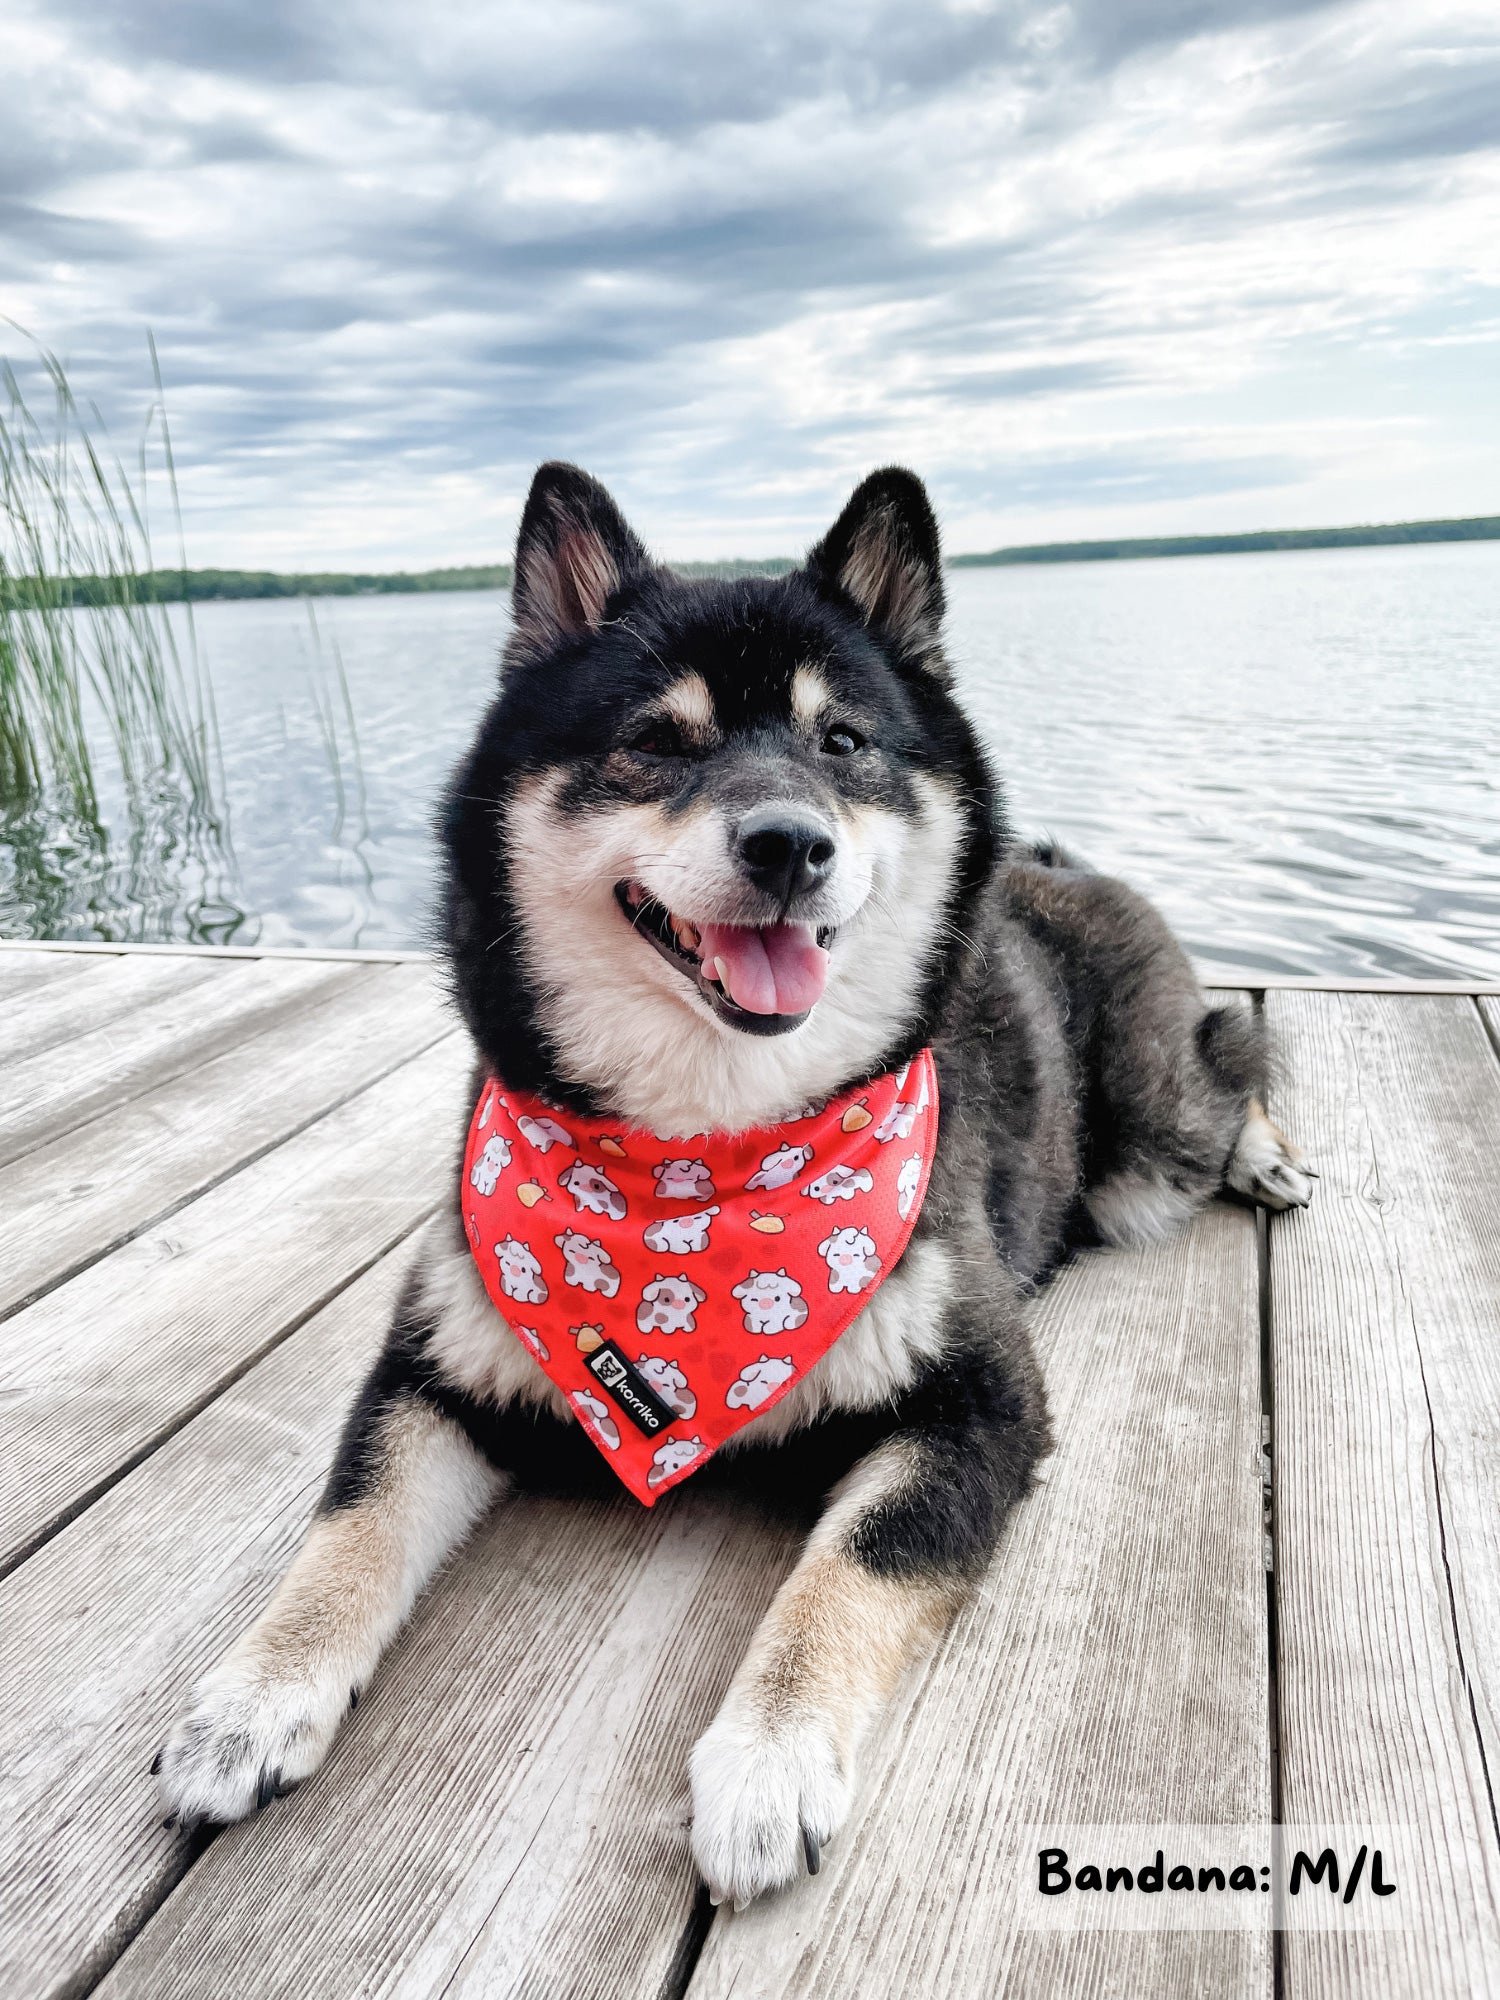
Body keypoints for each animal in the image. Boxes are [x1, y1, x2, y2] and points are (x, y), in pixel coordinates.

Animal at [156, 458, 1312, 1904]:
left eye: (844, 742)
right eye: (658, 739)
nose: (788, 842)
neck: (706, 1164)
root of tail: (1056, 865)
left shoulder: (984, 1405)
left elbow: (851, 1571)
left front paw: (769, 1756)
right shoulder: (432, 1369)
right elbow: (349, 1527)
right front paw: (251, 1695)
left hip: (1154, 1136)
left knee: (1232, 1056)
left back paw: (1267, 1150)